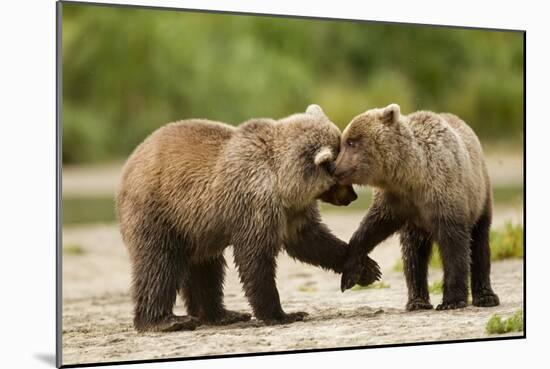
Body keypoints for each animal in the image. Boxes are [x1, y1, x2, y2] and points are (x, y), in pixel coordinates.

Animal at [116, 105, 384, 332]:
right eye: (341, 173)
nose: (352, 196)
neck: (284, 182)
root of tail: (129, 164)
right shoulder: (255, 202)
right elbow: (255, 257)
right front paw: (283, 314)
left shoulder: (292, 211)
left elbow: (312, 241)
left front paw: (367, 268)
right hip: (159, 212)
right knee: (159, 264)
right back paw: (166, 320)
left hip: (196, 228)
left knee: (206, 269)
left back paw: (222, 314)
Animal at [336, 102, 500, 310]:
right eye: (343, 141)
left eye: (351, 142)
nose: (334, 167)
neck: (412, 176)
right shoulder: (397, 201)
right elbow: (372, 227)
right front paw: (350, 273)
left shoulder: (444, 195)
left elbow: (454, 246)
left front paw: (452, 300)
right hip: (416, 227)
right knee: (414, 255)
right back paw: (417, 301)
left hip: (480, 196)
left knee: (480, 243)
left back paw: (486, 297)